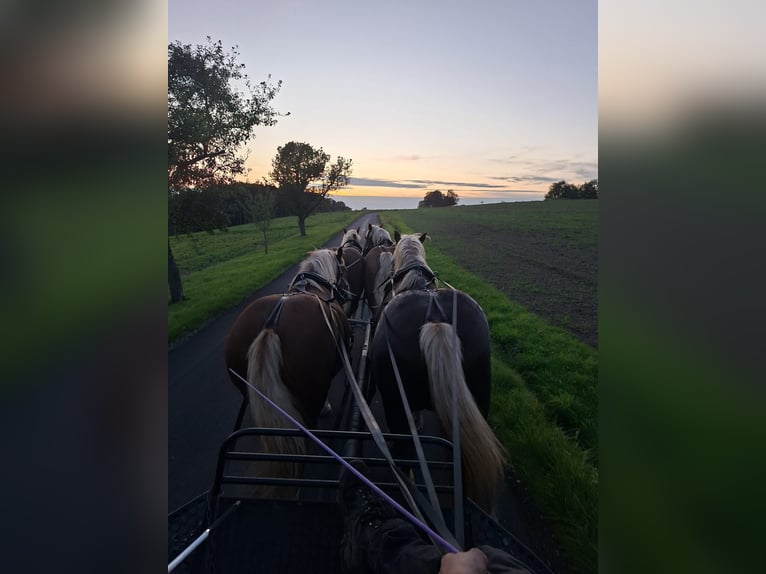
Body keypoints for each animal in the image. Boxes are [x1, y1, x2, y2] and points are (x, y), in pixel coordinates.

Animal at [224, 248, 351, 496]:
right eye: (343, 267)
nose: (347, 291)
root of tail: (271, 324)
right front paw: (327, 408)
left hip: (246, 388)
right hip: (312, 393)